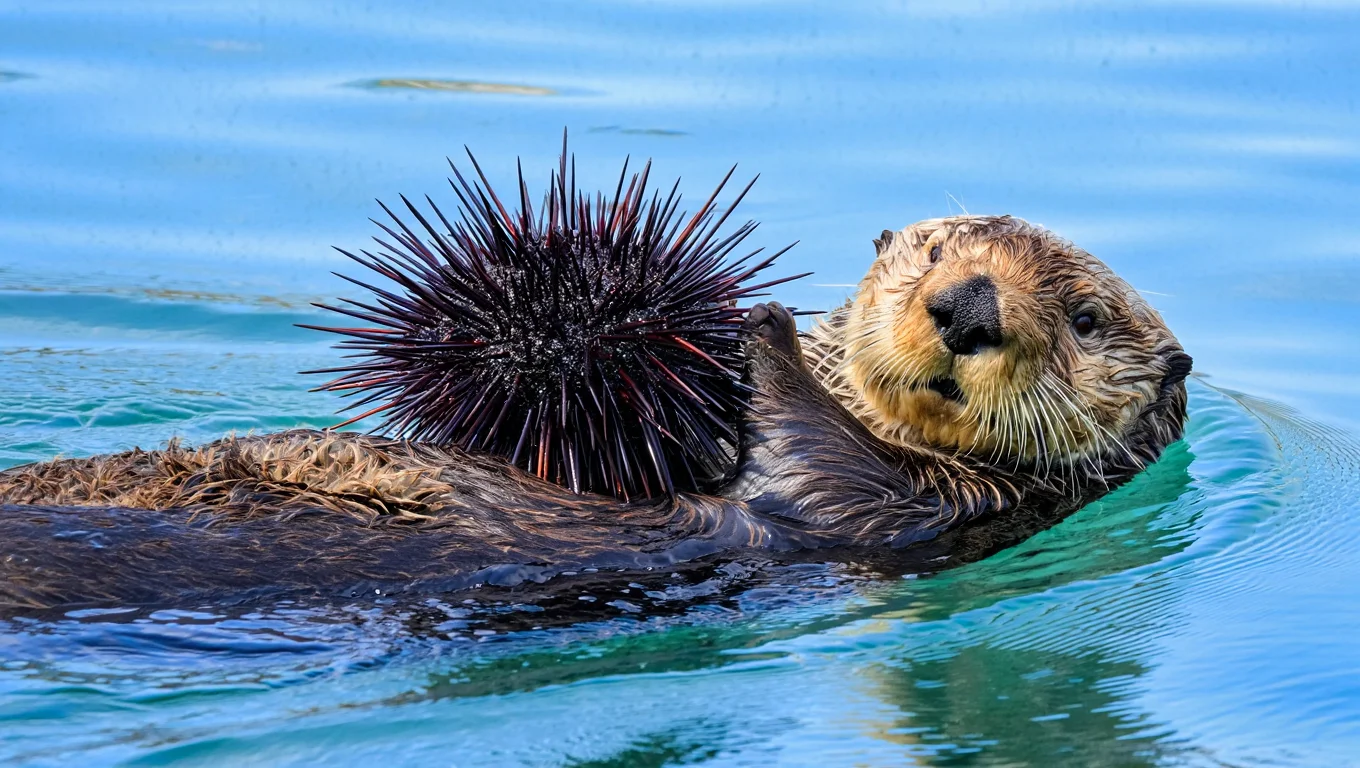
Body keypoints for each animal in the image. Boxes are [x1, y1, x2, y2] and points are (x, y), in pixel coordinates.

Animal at [0, 216, 1190, 610]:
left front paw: (760, 328)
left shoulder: (903, 514)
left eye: (1084, 318)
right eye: (939, 249)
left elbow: (810, 465)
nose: (966, 305)